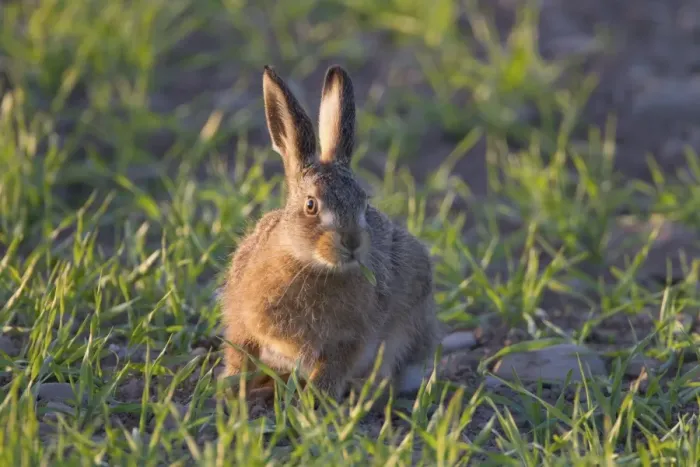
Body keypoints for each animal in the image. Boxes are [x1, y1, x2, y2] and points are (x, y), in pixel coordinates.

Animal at [219, 65, 474, 402]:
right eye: (311, 205)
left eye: (364, 203)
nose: (352, 242)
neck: (308, 264)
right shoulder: (242, 323)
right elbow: (239, 355)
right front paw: (230, 388)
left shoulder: (350, 340)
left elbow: (333, 369)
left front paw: (316, 398)